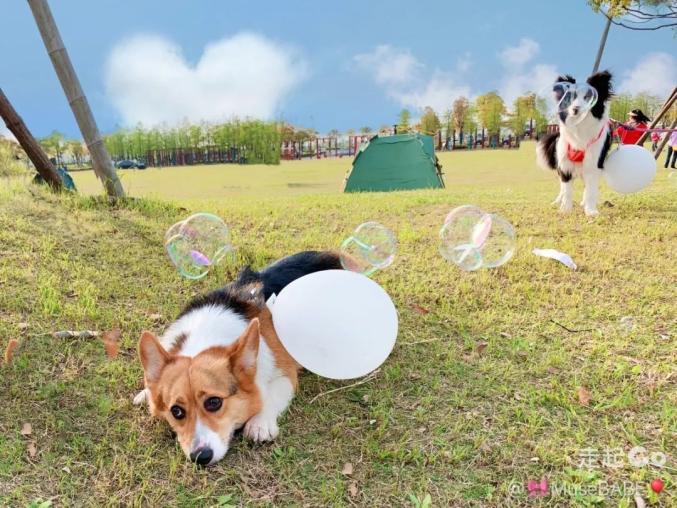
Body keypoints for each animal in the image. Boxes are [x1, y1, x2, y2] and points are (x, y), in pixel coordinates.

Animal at [134, 250, 340, 464]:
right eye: (176, 411)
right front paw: (146, 393)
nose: (200, 457)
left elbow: (270, 395)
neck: (206, 335)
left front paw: (259, 423)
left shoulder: (284, 371)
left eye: (214, 402)